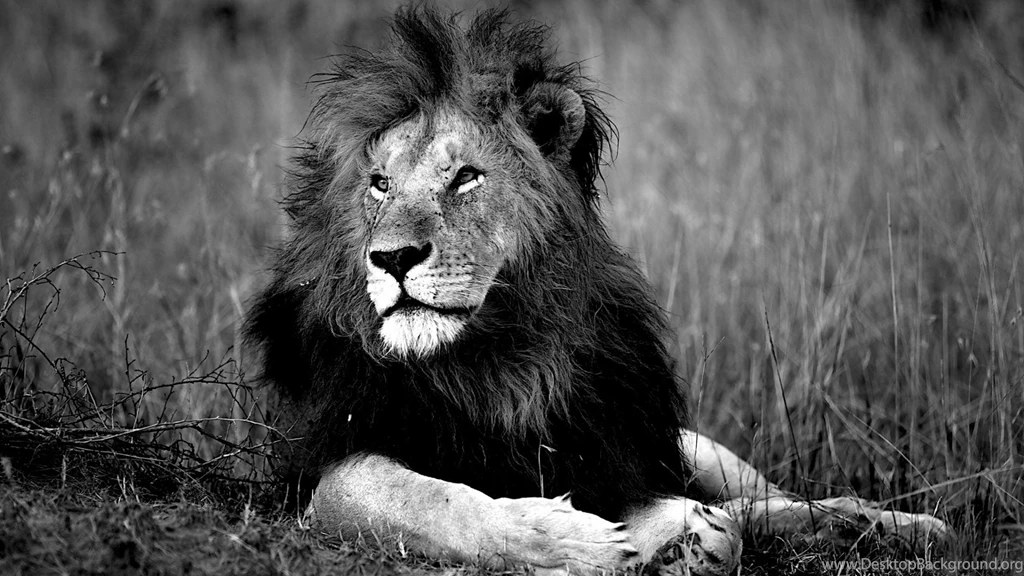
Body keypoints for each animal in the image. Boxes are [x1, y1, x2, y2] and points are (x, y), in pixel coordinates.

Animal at [245, 7, 949, 575]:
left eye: (467, 178)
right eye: (380, 185)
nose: (391, 257)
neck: (496, 359)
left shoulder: (617, 453)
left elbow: (712, 522)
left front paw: (682, 541)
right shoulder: (327, 470)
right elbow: (434, 502)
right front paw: (570, 540)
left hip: (693, 445)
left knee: (759, 500)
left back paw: (892, 524)